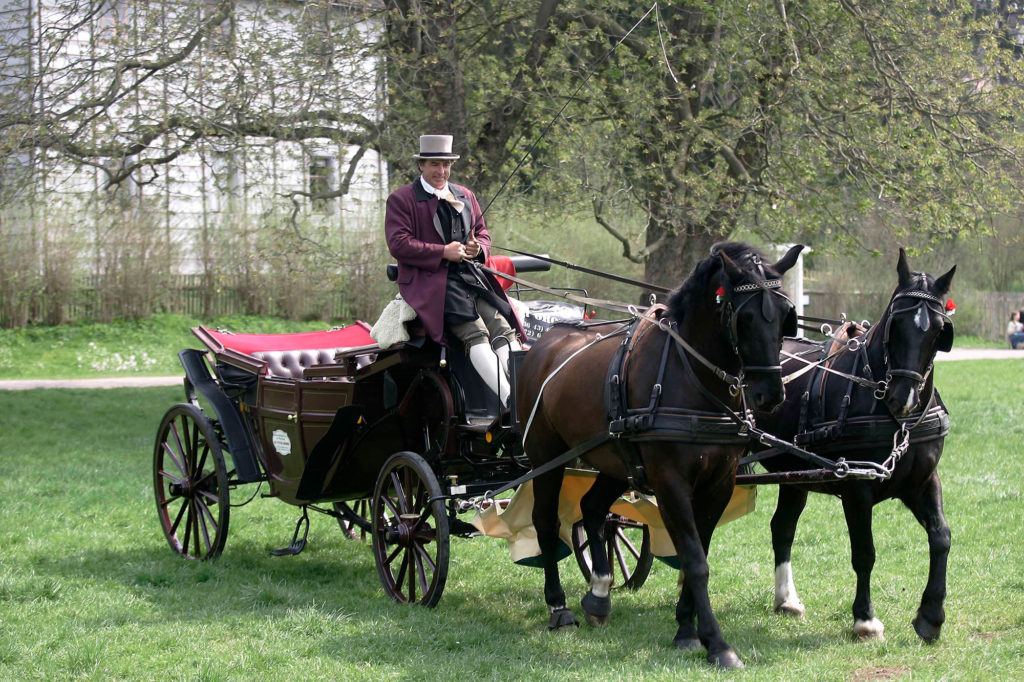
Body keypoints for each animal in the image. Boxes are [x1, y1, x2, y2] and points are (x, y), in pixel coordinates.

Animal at [516, 241, 802, 667]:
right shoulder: (670, 482)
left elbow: (699, 551)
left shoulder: (719, 482)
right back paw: (559, 607)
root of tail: (547, 341)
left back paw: (599, 593)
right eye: (746, 317)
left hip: (613, 459)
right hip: (545, 457)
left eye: (785, 316)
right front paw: (717, 643)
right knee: (546, 522)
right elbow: (695, 560)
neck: (695, 381)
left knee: (593, 509)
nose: (771, 394)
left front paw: (686, 629)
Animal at [749, 246, 954, 638]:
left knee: (782, 526)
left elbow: (941, 537)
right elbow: (864, 552)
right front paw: (865, 619)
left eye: (938, 330)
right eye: (895, 324)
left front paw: (931, 615)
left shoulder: (921, 481)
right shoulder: (856, 488)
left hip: (794, 474)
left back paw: (787, 599)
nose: (902, 397)